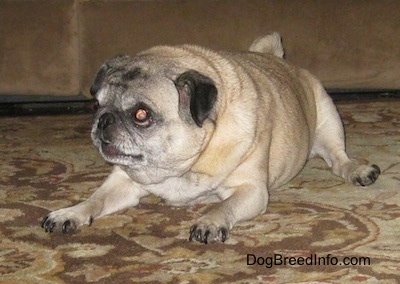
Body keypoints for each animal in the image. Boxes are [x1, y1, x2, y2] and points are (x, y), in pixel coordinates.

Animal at [41, 32, 382, 243]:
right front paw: (71, 212)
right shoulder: (123, 182)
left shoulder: (251, 191)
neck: (185, 165)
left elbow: (222, 206)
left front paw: (209, 221)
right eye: (96, 104)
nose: (103, 120)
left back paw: (357, 170)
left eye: (141, 114)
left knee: (338, 158)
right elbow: (95, 199)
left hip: (328, 115)